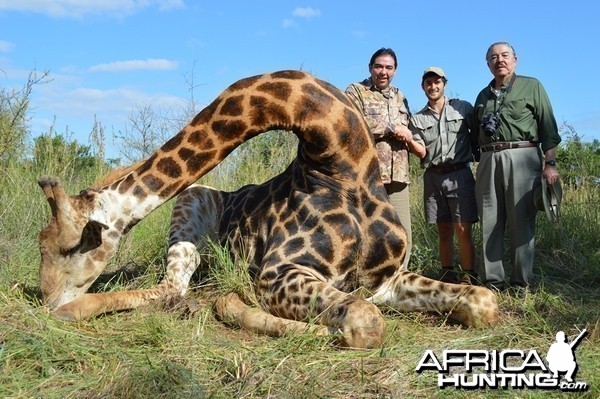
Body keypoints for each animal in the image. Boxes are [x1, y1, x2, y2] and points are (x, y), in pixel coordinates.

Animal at [35, 70, 500, 348]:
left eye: (65, 246)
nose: (45, 299)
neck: (343, 160)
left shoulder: (385, 279)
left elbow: (484, 301)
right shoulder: (279, 271)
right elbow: (364, 321)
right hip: (190, 199)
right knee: (173, 285)